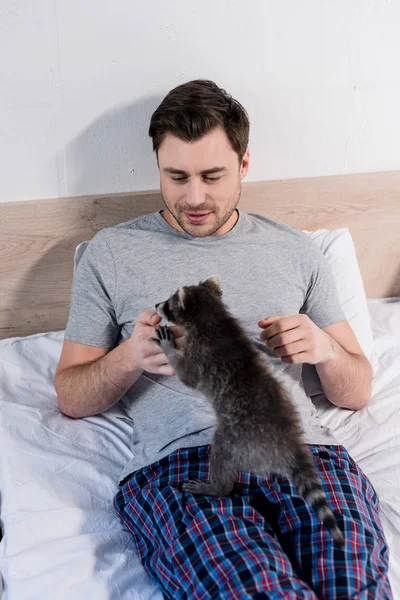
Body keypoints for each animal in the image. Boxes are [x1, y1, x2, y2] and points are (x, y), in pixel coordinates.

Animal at [155, 276, 346, 548]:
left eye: (168, 304)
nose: (156, 305)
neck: (214, 315)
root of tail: (288, 440)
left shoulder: (200, 355)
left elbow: (187, 376)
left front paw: (169, 347)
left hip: (238, 439)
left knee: (221, 453)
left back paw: (216, 487)